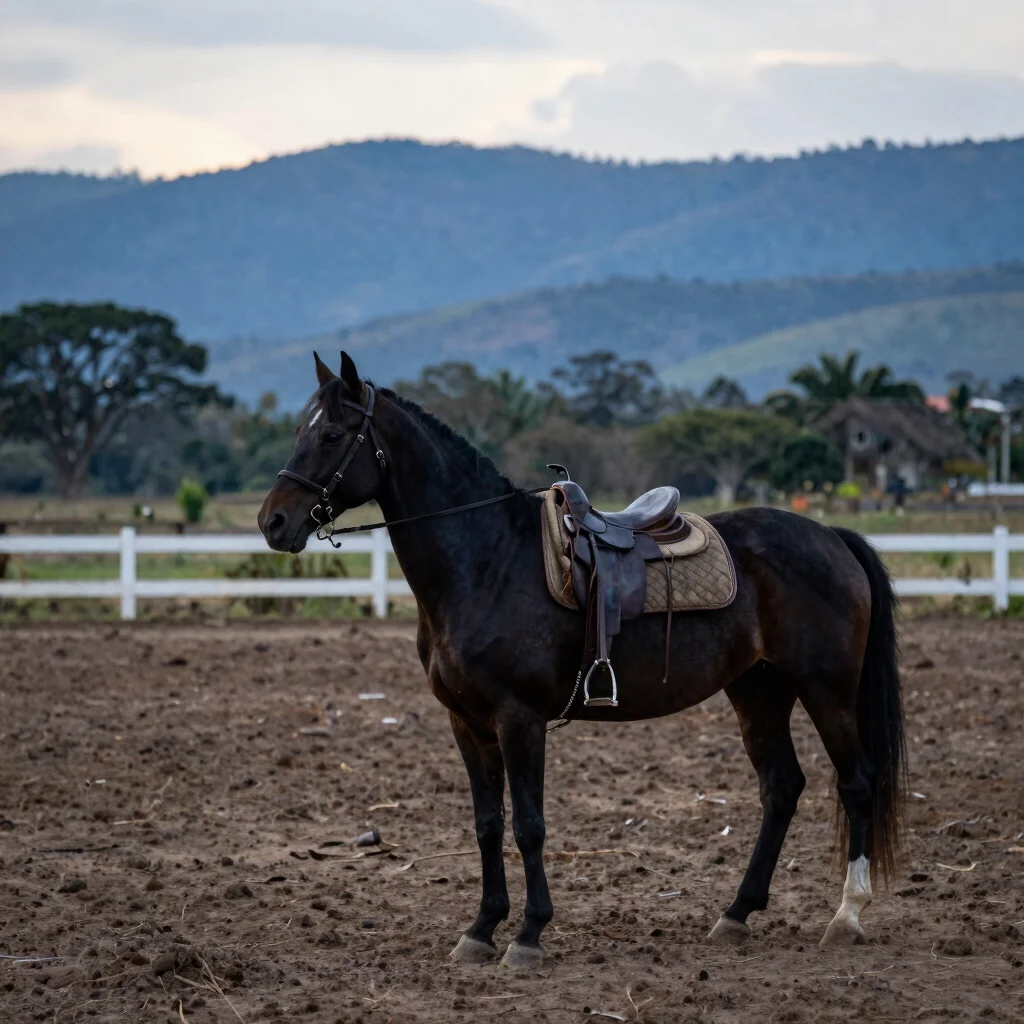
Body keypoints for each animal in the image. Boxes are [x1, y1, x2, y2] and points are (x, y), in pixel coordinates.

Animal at [258, 351, 905, 969]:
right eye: (301, 429)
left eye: (333, 434)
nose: (273, 522)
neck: (487, 561)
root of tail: (830, 536)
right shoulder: (467, 724)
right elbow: (488, 826)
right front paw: (481, 929)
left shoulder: (519, 719)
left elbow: (529, 826)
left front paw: (528, 934)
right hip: (758, 691)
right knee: (781, 788)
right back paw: (737, 913)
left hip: (826, 691)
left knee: (856, 782)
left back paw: (847, 915)